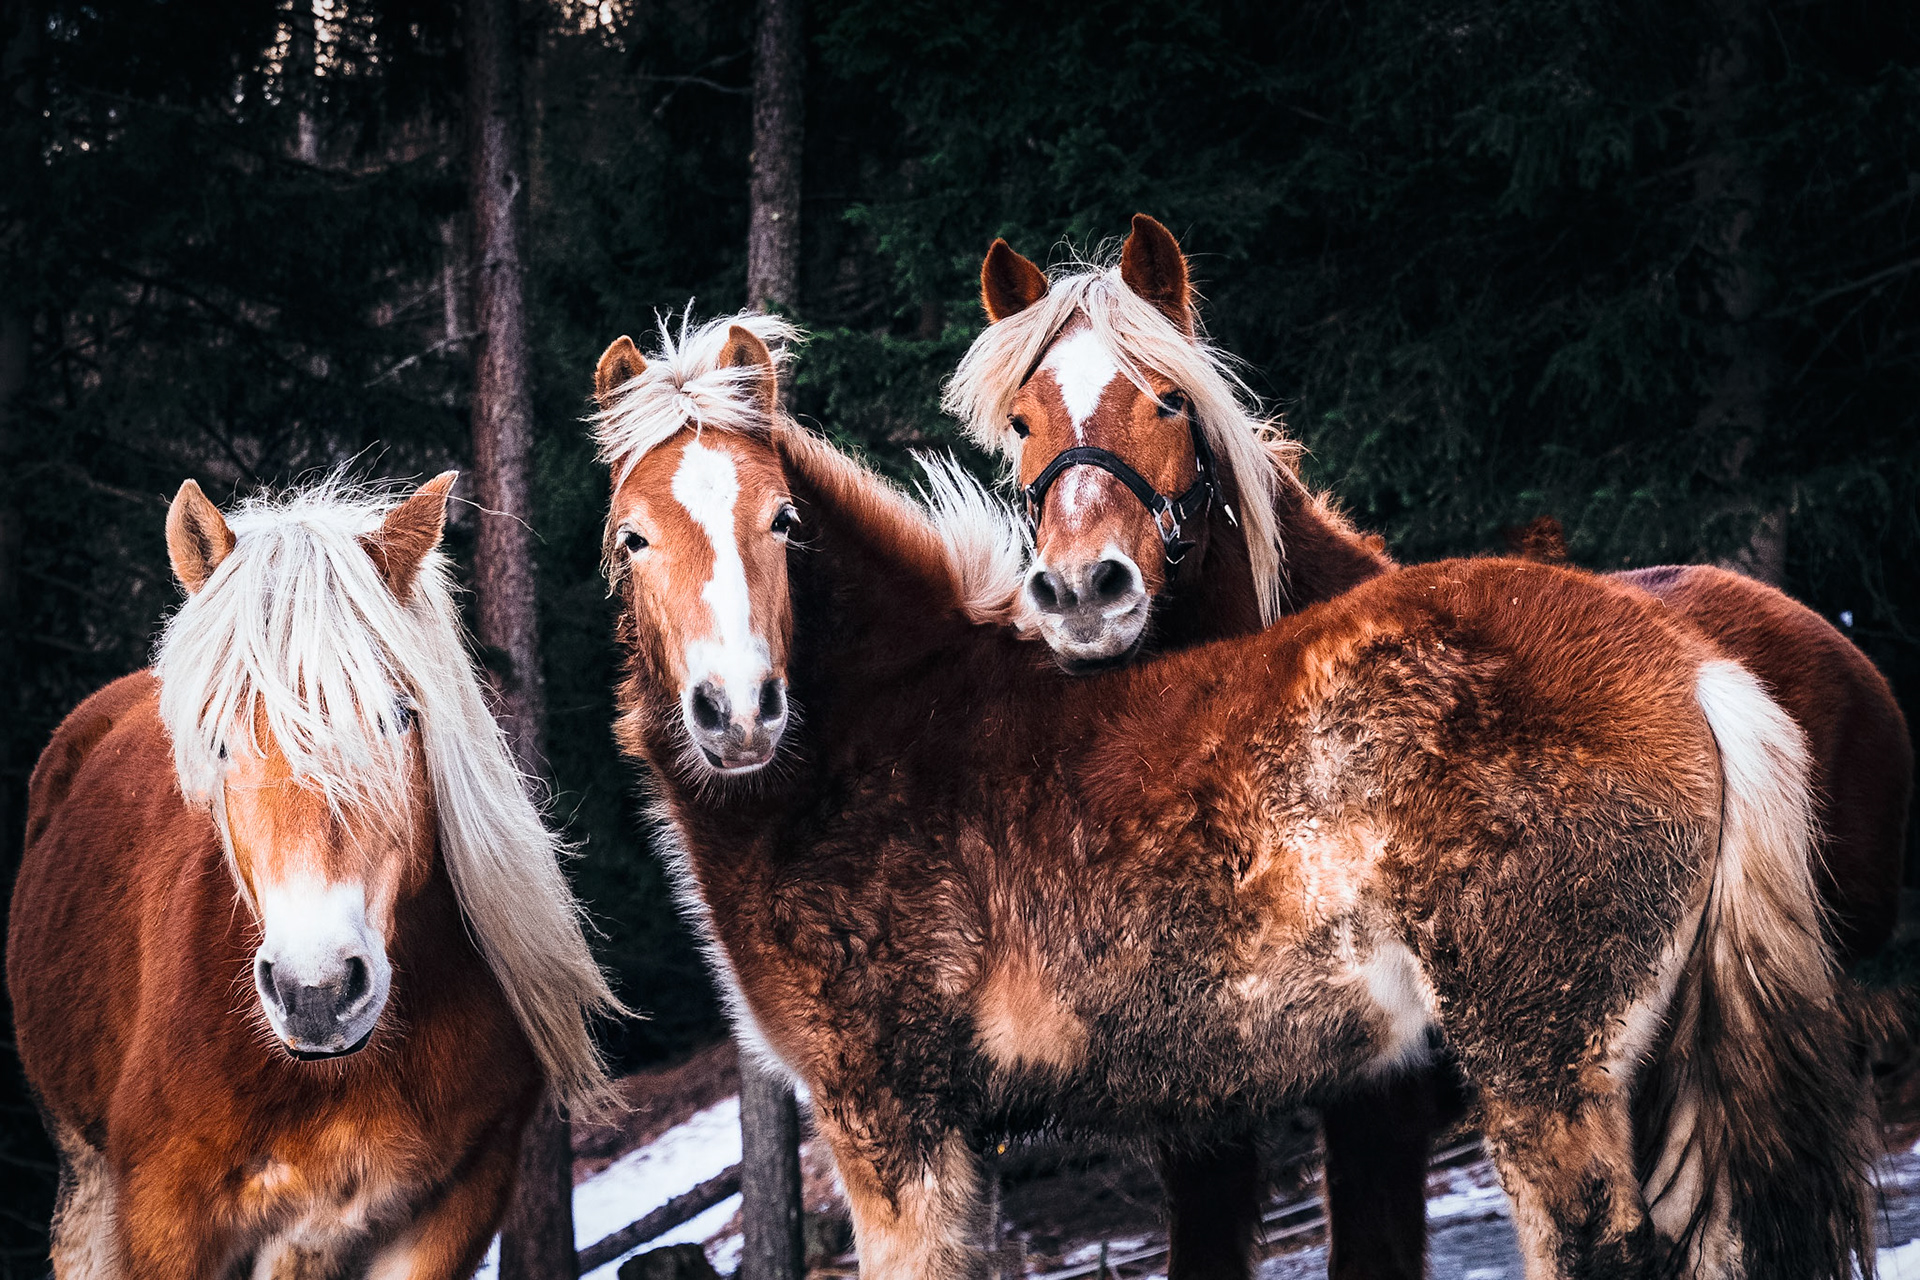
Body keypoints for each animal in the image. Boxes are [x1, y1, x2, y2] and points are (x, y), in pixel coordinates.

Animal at [588, 310, 1876, 1280]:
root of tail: (1691, 666)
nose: (738, 711)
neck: (890, 732)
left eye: (783, 522)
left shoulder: (892, 1125)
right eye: (632, 537)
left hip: (1546, 1064)